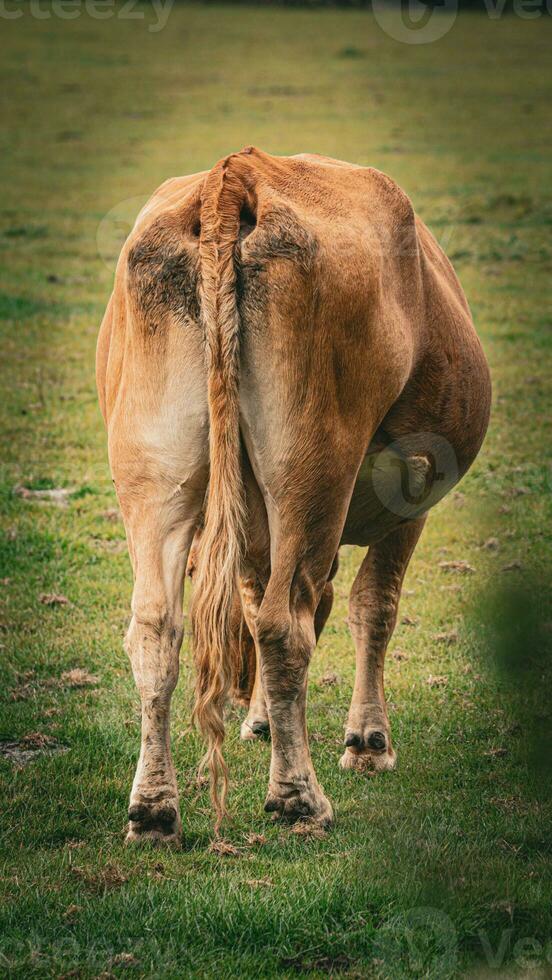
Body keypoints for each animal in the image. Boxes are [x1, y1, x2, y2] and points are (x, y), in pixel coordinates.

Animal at [97, 145, 490, 844]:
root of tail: (238, 175)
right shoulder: (411, 497)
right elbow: (373, 605)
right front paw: (369, 741)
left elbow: (255, 604)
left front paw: (259, 720)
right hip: (314, 474)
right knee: (287, 626)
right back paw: (298, 798)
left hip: (153, 474)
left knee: (157, 629)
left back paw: (154, 809)